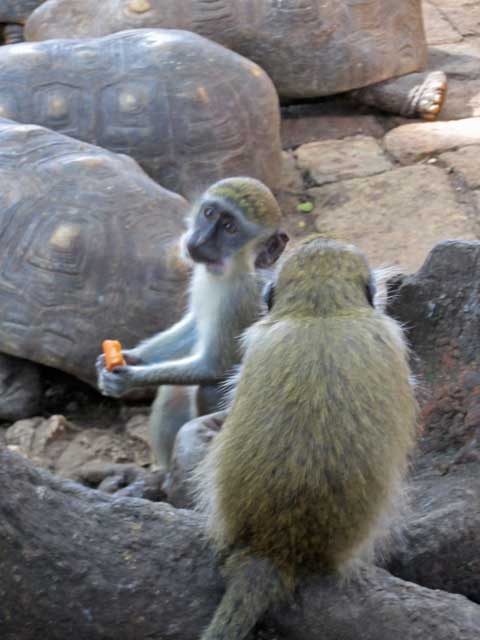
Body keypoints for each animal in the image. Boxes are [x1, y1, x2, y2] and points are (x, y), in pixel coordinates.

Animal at [97, 177, 289, 472]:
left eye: (230, 228)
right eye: (209, 213)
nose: (201, 239)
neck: (233, 270)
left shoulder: (238, 300)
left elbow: (213, 366)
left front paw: (128, 378)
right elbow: (195, 325)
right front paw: (131, 357)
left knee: (207, 387)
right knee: (173, 391)